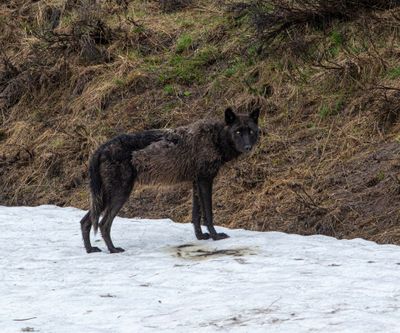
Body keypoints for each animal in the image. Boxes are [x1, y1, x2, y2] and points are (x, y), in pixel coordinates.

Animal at [79, 106, 260, 252]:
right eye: (238, 132)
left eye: (250, 131)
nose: (247, 147)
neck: (215, 138)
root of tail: (100, 149)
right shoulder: (205, 181)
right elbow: (208, 214)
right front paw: (215, 236)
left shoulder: (196, 182)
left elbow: (196, 215)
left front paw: (201, 237)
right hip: (119, 194)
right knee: (103, 224)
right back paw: (113, 249)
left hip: (104, 197)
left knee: (85, 222)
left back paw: (90, 250)